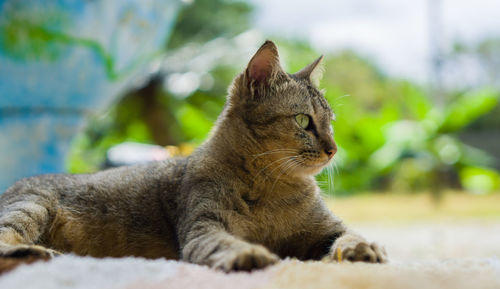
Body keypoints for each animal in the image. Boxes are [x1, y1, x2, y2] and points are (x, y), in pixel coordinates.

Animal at [0, 40, 386, 270]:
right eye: (304, 120)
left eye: (330, 123)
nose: (334, 149)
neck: (272, 187)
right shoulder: (203, 228)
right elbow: (225, 244)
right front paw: (249, 254)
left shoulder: (328, 229)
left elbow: (349, 234)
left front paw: (363, 248)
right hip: (31, 207)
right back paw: (36, 254)